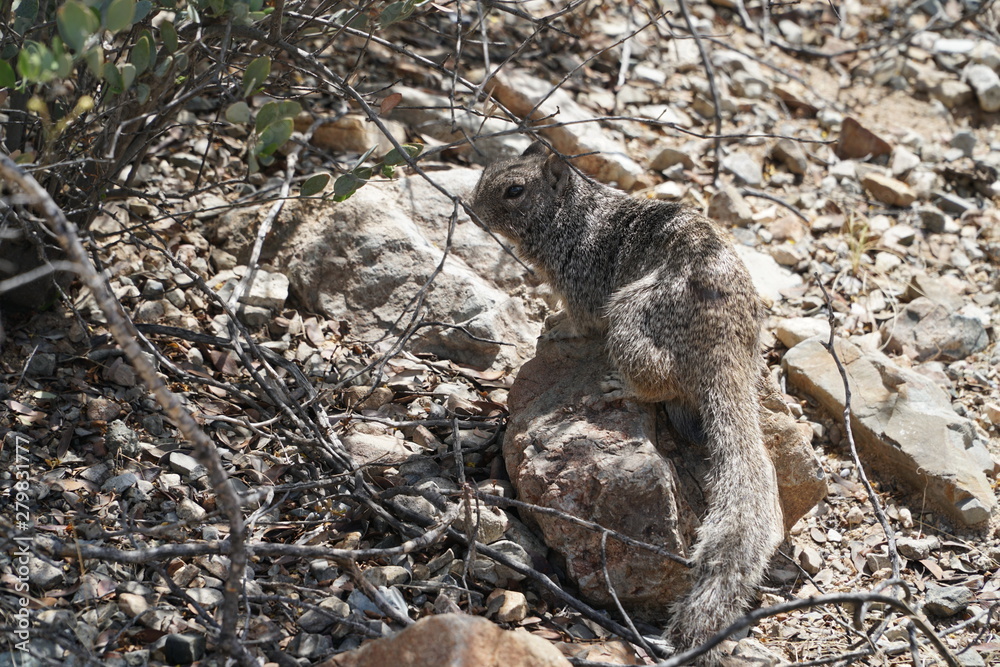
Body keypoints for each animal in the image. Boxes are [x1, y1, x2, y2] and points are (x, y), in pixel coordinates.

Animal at [469, 142, 784, 664]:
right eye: (487, 171)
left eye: (514, 190)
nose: (472, 209)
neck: (572, 215)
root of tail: (724, 351)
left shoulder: (581, 282)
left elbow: (578, 320)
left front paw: (555, 325)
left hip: (629, 313)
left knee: (662, 381)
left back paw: (623, 388)